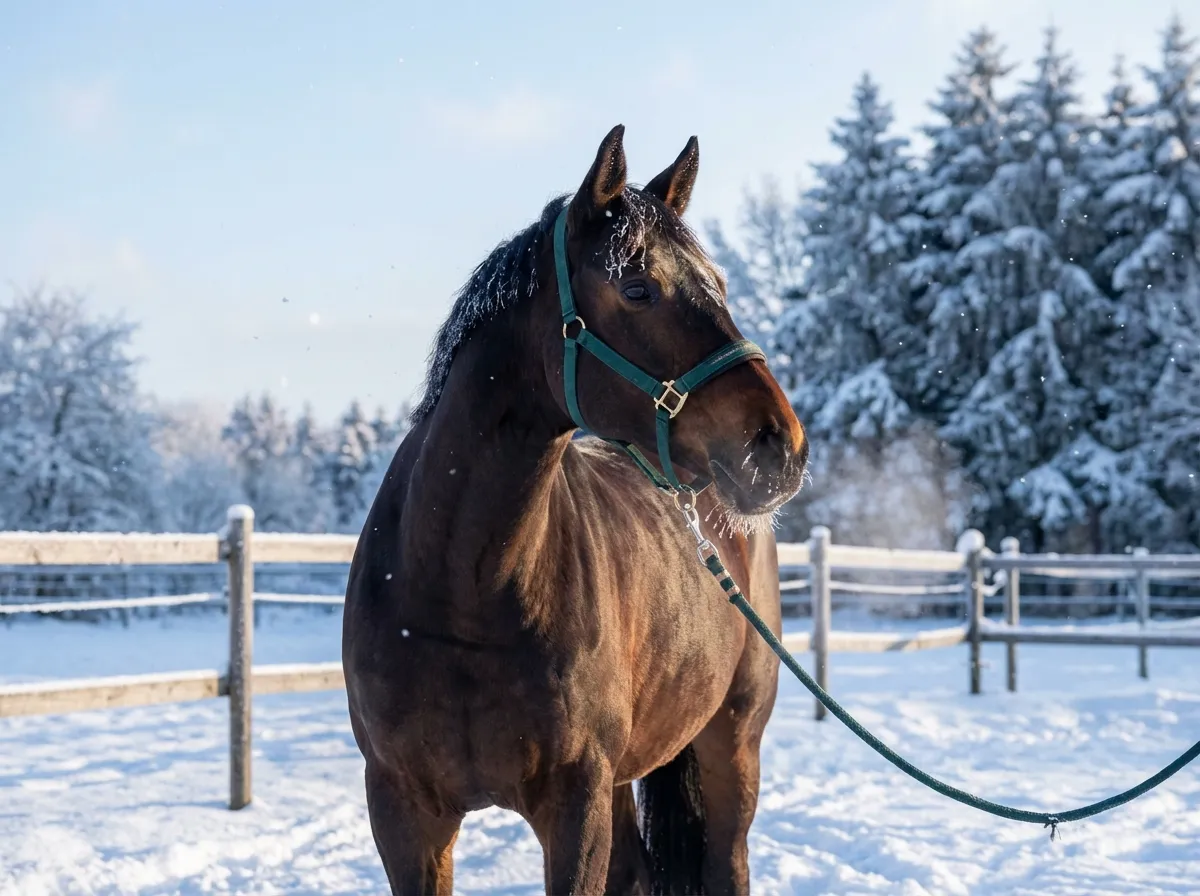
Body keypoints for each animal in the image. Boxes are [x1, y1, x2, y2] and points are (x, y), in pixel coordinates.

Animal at [342, 125, 808, 895]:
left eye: (718, 285)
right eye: (638, 287)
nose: (781, 445)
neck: (461, 592)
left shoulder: (576, 804)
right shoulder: (404, 814)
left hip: (732, 743)